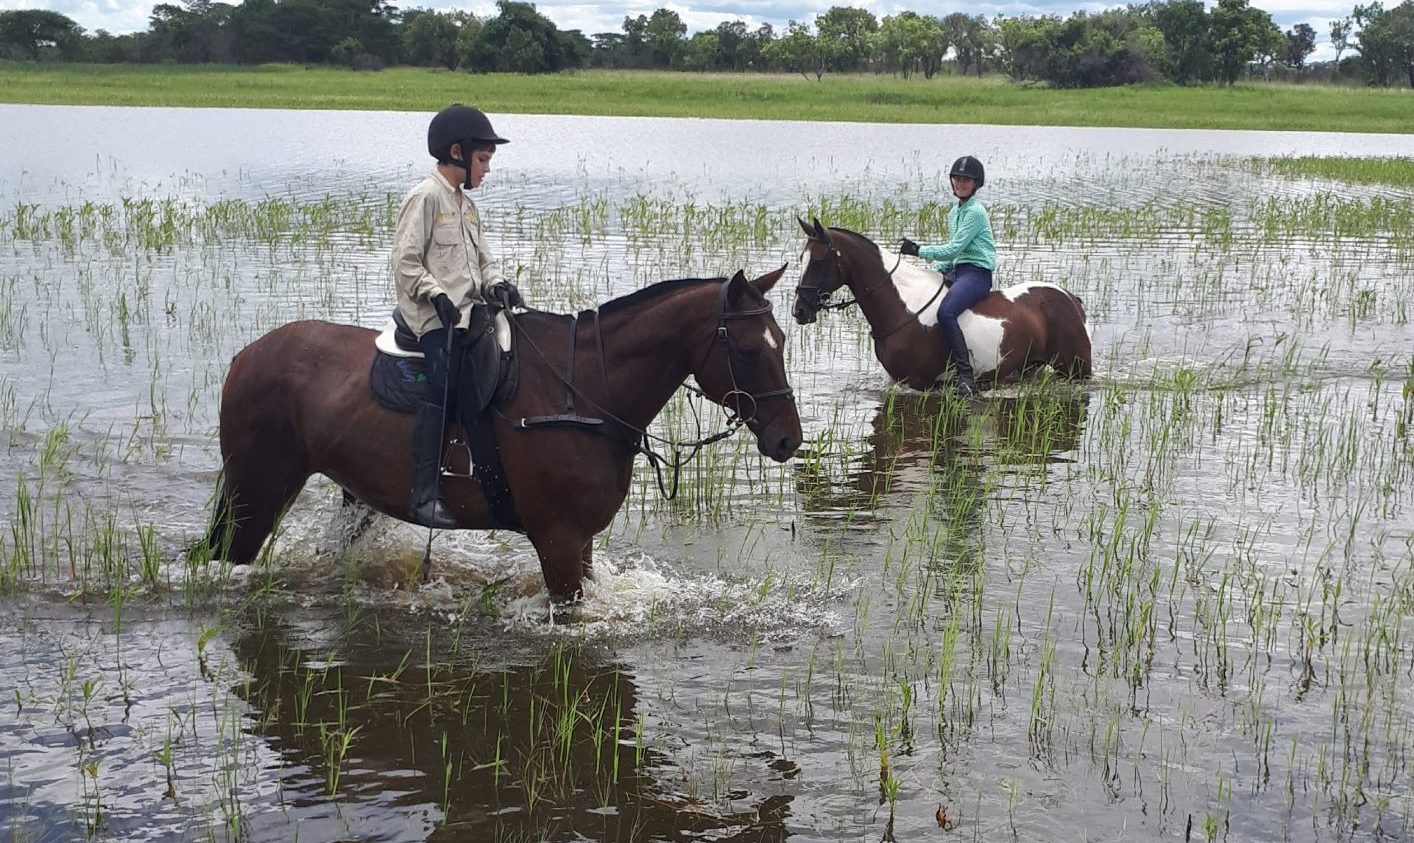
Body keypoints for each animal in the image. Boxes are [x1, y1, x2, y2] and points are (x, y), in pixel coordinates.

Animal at [205, 267, 803, 603]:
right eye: (747, 349)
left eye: (781, 340)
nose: (787, 440)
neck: (584, 394)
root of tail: (245, 357)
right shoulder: (558, 540)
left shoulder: (581, 541)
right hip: (256, 492)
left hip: (352, 497)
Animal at [791, 218, 1092, 392]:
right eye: (801, 259)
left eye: (818, 261)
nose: (799, 311)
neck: (902, 308)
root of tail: (1069, 298)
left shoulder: (920, 384)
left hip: (1076, 369)